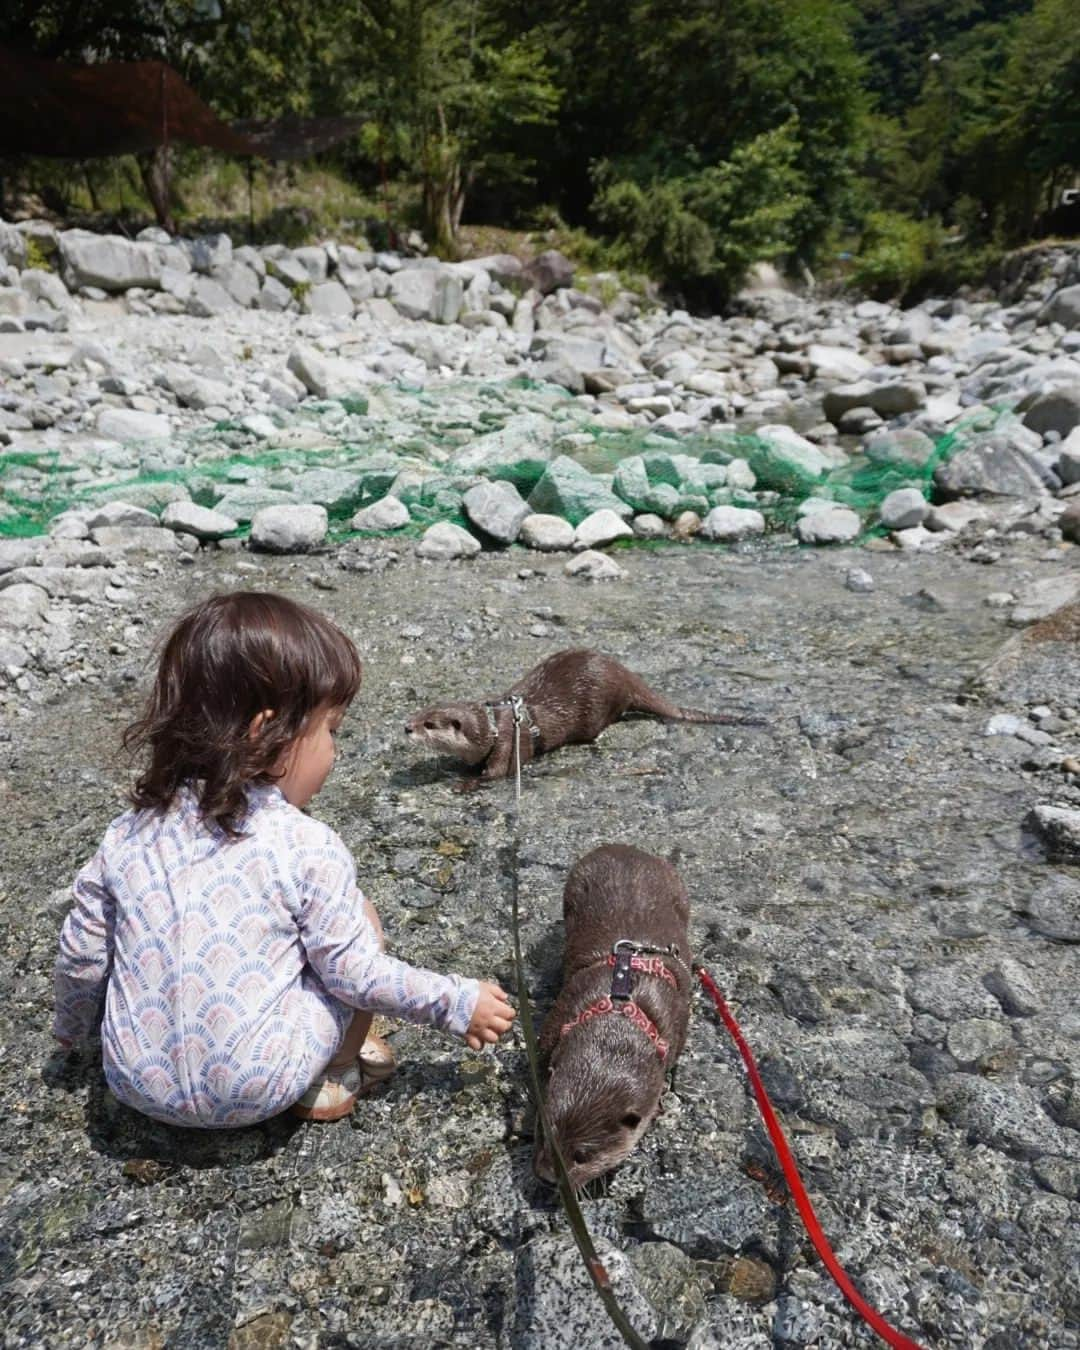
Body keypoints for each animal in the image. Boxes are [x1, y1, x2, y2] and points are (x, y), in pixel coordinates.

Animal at [405, 648, 766, 788]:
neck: (492, 729)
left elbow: (493, 776)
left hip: (600, 706)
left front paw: (465, 782)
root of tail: (624, 674)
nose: (406, 727)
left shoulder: (510, 746)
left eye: (429, 724)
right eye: (419, 713)